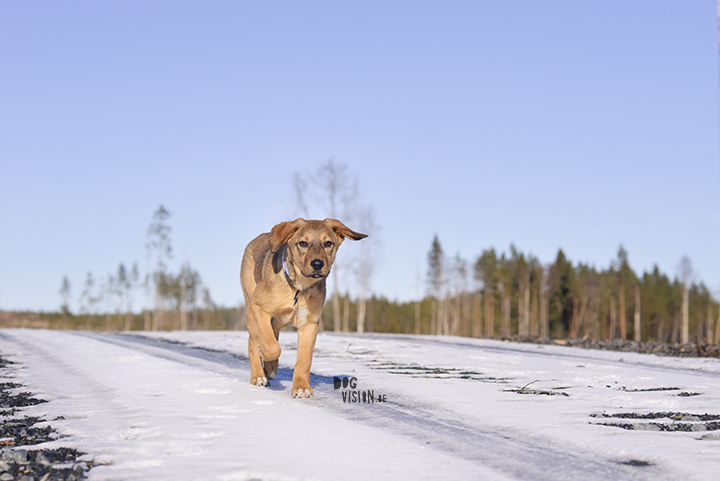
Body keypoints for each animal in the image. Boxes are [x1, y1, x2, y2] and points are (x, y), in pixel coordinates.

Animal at [240, 218, 368, 398]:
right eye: (302, 243)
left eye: (328, 243)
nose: (317, 264)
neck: (299, 288)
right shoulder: (258, 306)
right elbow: (271, 346)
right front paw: (264, 355)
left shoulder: (309, 324)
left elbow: (304, 360)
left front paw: (301, 387)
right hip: (251, 309)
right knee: (254, 341)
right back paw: (259, 375)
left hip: (279, 318)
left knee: (274, 331)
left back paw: (270, 369)